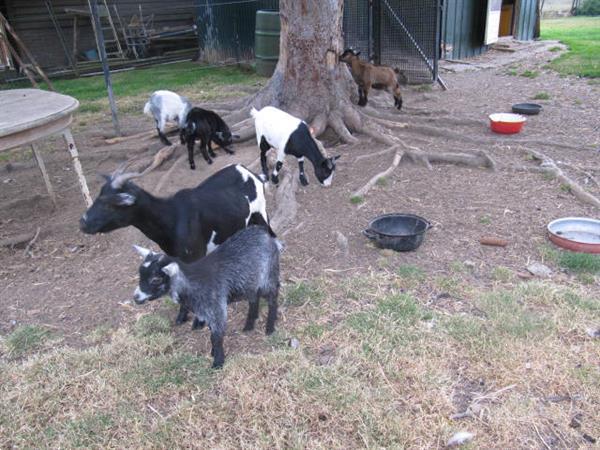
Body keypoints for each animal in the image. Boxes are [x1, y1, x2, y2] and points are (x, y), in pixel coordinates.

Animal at [79, 163, 272, 326]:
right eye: (99, 196)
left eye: (112, 203)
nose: (83, 223)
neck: (172, 217)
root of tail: (250, 172)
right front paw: (181, 317)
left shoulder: (194, 255)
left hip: (261, 213)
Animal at [132, 227, 280, 368]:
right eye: (140, 274)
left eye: (155, 280)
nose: (136, 297)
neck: (192, 282)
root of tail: (264, 233)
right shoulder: (205, 310)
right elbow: (211, 333)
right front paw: (213, 352)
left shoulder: (215, 307)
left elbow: (216, 336)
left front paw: (218, 362)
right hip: (249, 280)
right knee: (254, 297)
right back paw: (249, 324)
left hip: (268, 273)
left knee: (273, 297)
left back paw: (270, 327)